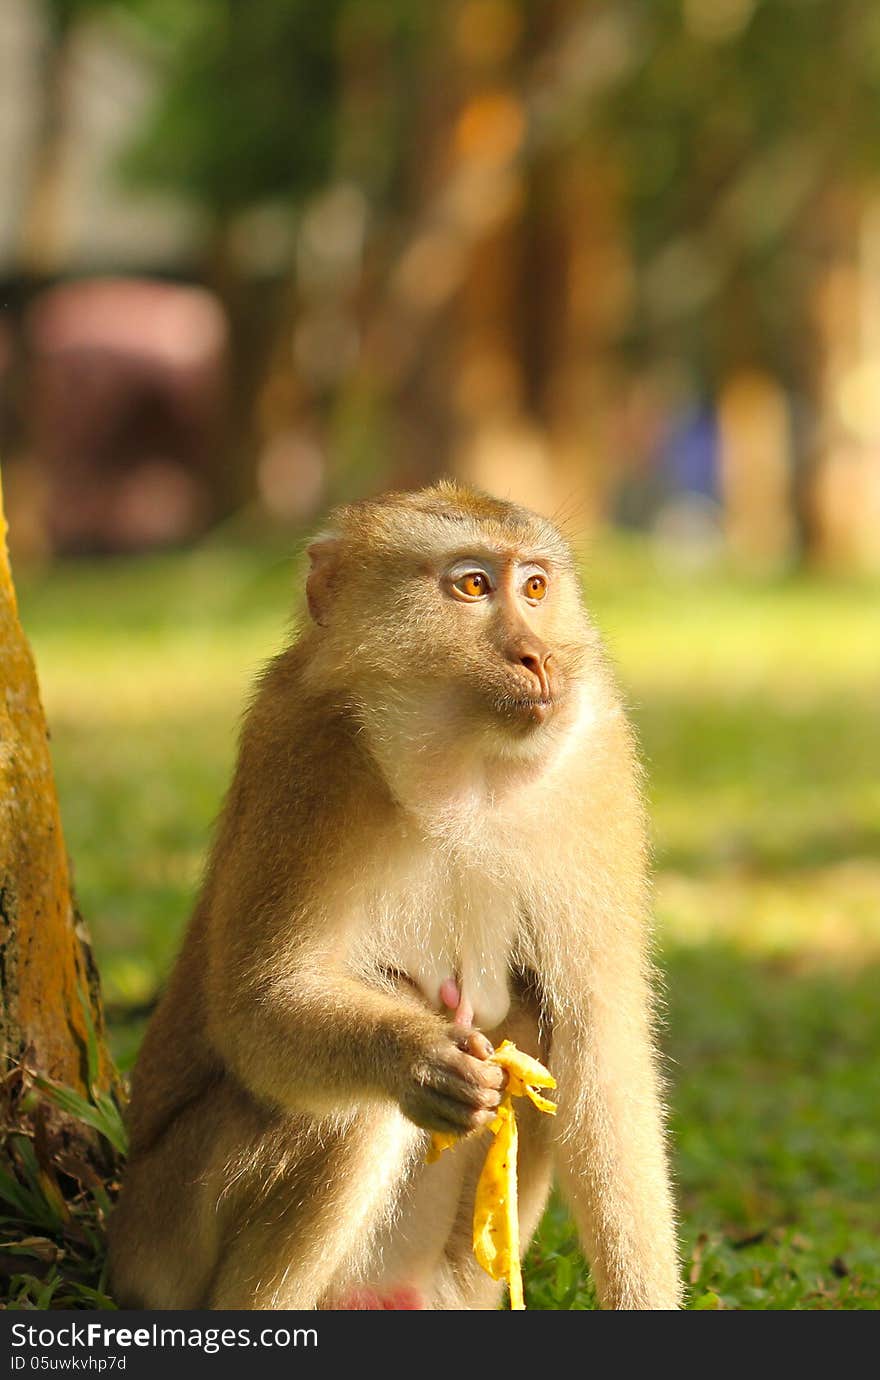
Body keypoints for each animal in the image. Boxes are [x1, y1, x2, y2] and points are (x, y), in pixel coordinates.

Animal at [106, 480, 686, 1308]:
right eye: (472, 585)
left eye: (535, 588)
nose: (537, 655)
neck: (464, 769)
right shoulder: (308, 757)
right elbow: (259, 1008)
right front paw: (417, 1060)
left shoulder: (593, 760)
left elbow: (598, 1048)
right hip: (162, 1237)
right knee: (356, 1118)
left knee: (534, 1028)